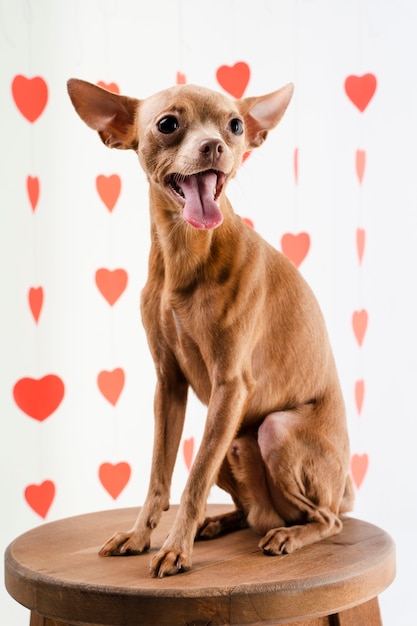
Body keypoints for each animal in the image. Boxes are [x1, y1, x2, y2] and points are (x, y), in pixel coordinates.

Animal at [67, 77, 352, 576]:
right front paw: (141, 536)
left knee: (325, 519)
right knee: (250, 511)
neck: (184, 254)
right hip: (232, 440)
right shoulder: (169, 385)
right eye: (167, 124)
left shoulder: (231, 386)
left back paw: (290, 536)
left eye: (235, 125)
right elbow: (159, 477)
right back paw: (218, 524)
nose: (215, 145)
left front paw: (175, 548)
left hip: (272, 429)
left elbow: (192, 480)